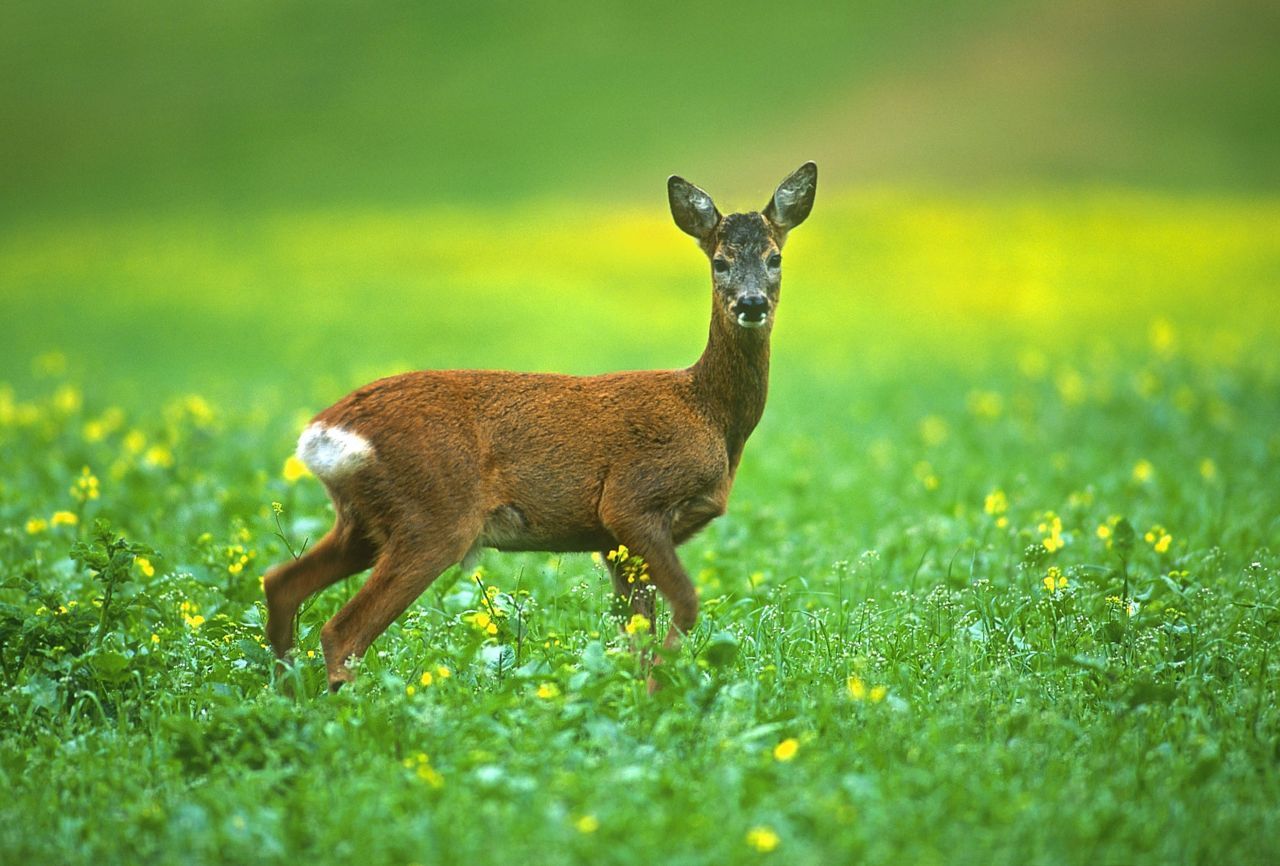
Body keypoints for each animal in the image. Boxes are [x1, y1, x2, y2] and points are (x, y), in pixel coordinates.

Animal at [263, 160, 814, 690]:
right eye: (720, 262)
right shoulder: (632, 501)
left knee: (280, 583)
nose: (751, 304)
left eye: (775, 258)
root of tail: (324, 432)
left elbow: (635, 638)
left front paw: (640, 698)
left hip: (363, 521)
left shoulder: (613, 545)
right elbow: (685, 606)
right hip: (433, 515)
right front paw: (663, 691)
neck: (710, 412)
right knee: (341, 631)